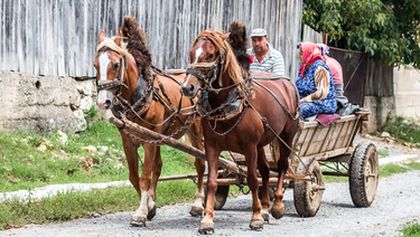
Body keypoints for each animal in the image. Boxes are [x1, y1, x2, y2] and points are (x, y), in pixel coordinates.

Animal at [94, 15, 208, 227]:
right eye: (95, 65)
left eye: (115, 64)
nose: (102, 102)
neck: (138, 97)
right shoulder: (129, 141)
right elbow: (134, 176)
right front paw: (150, 206)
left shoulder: (149, 141)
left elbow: (145, 176)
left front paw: (140, 213)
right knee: (159, 166)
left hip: (196, 131)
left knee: (200, 163)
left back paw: (198, 204)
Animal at [180, 31, 298, 233]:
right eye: (191, 53)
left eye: (210, 55)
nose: (188, 87)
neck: (230, 103)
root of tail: (287, 82)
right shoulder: (212, 146)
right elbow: (212, 181)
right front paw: (207, 219)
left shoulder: (249, 147)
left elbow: (252, 179)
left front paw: (255, 217)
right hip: (261, 145)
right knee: (266, 171)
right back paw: (265, 208)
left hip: (286, 137)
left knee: (282, 166)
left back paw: (276, 206)